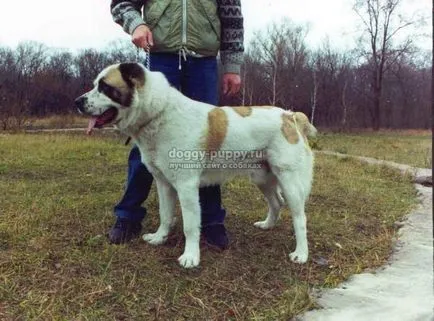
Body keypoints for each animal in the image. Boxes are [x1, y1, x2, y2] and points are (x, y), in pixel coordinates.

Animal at [74, 62, 318, 268]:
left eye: (105, 87)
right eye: (96, 85)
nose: (77, 102)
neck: (159, 113)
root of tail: (290, 116)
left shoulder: (186, 186)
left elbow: (190, 225)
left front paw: (190, 257)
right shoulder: (163, 183)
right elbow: (165, 214)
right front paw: (159, 238)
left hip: (289, 181)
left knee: (300, 218)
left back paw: (301, 254)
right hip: (262, 178)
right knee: (276, 202)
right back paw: (267, 225)